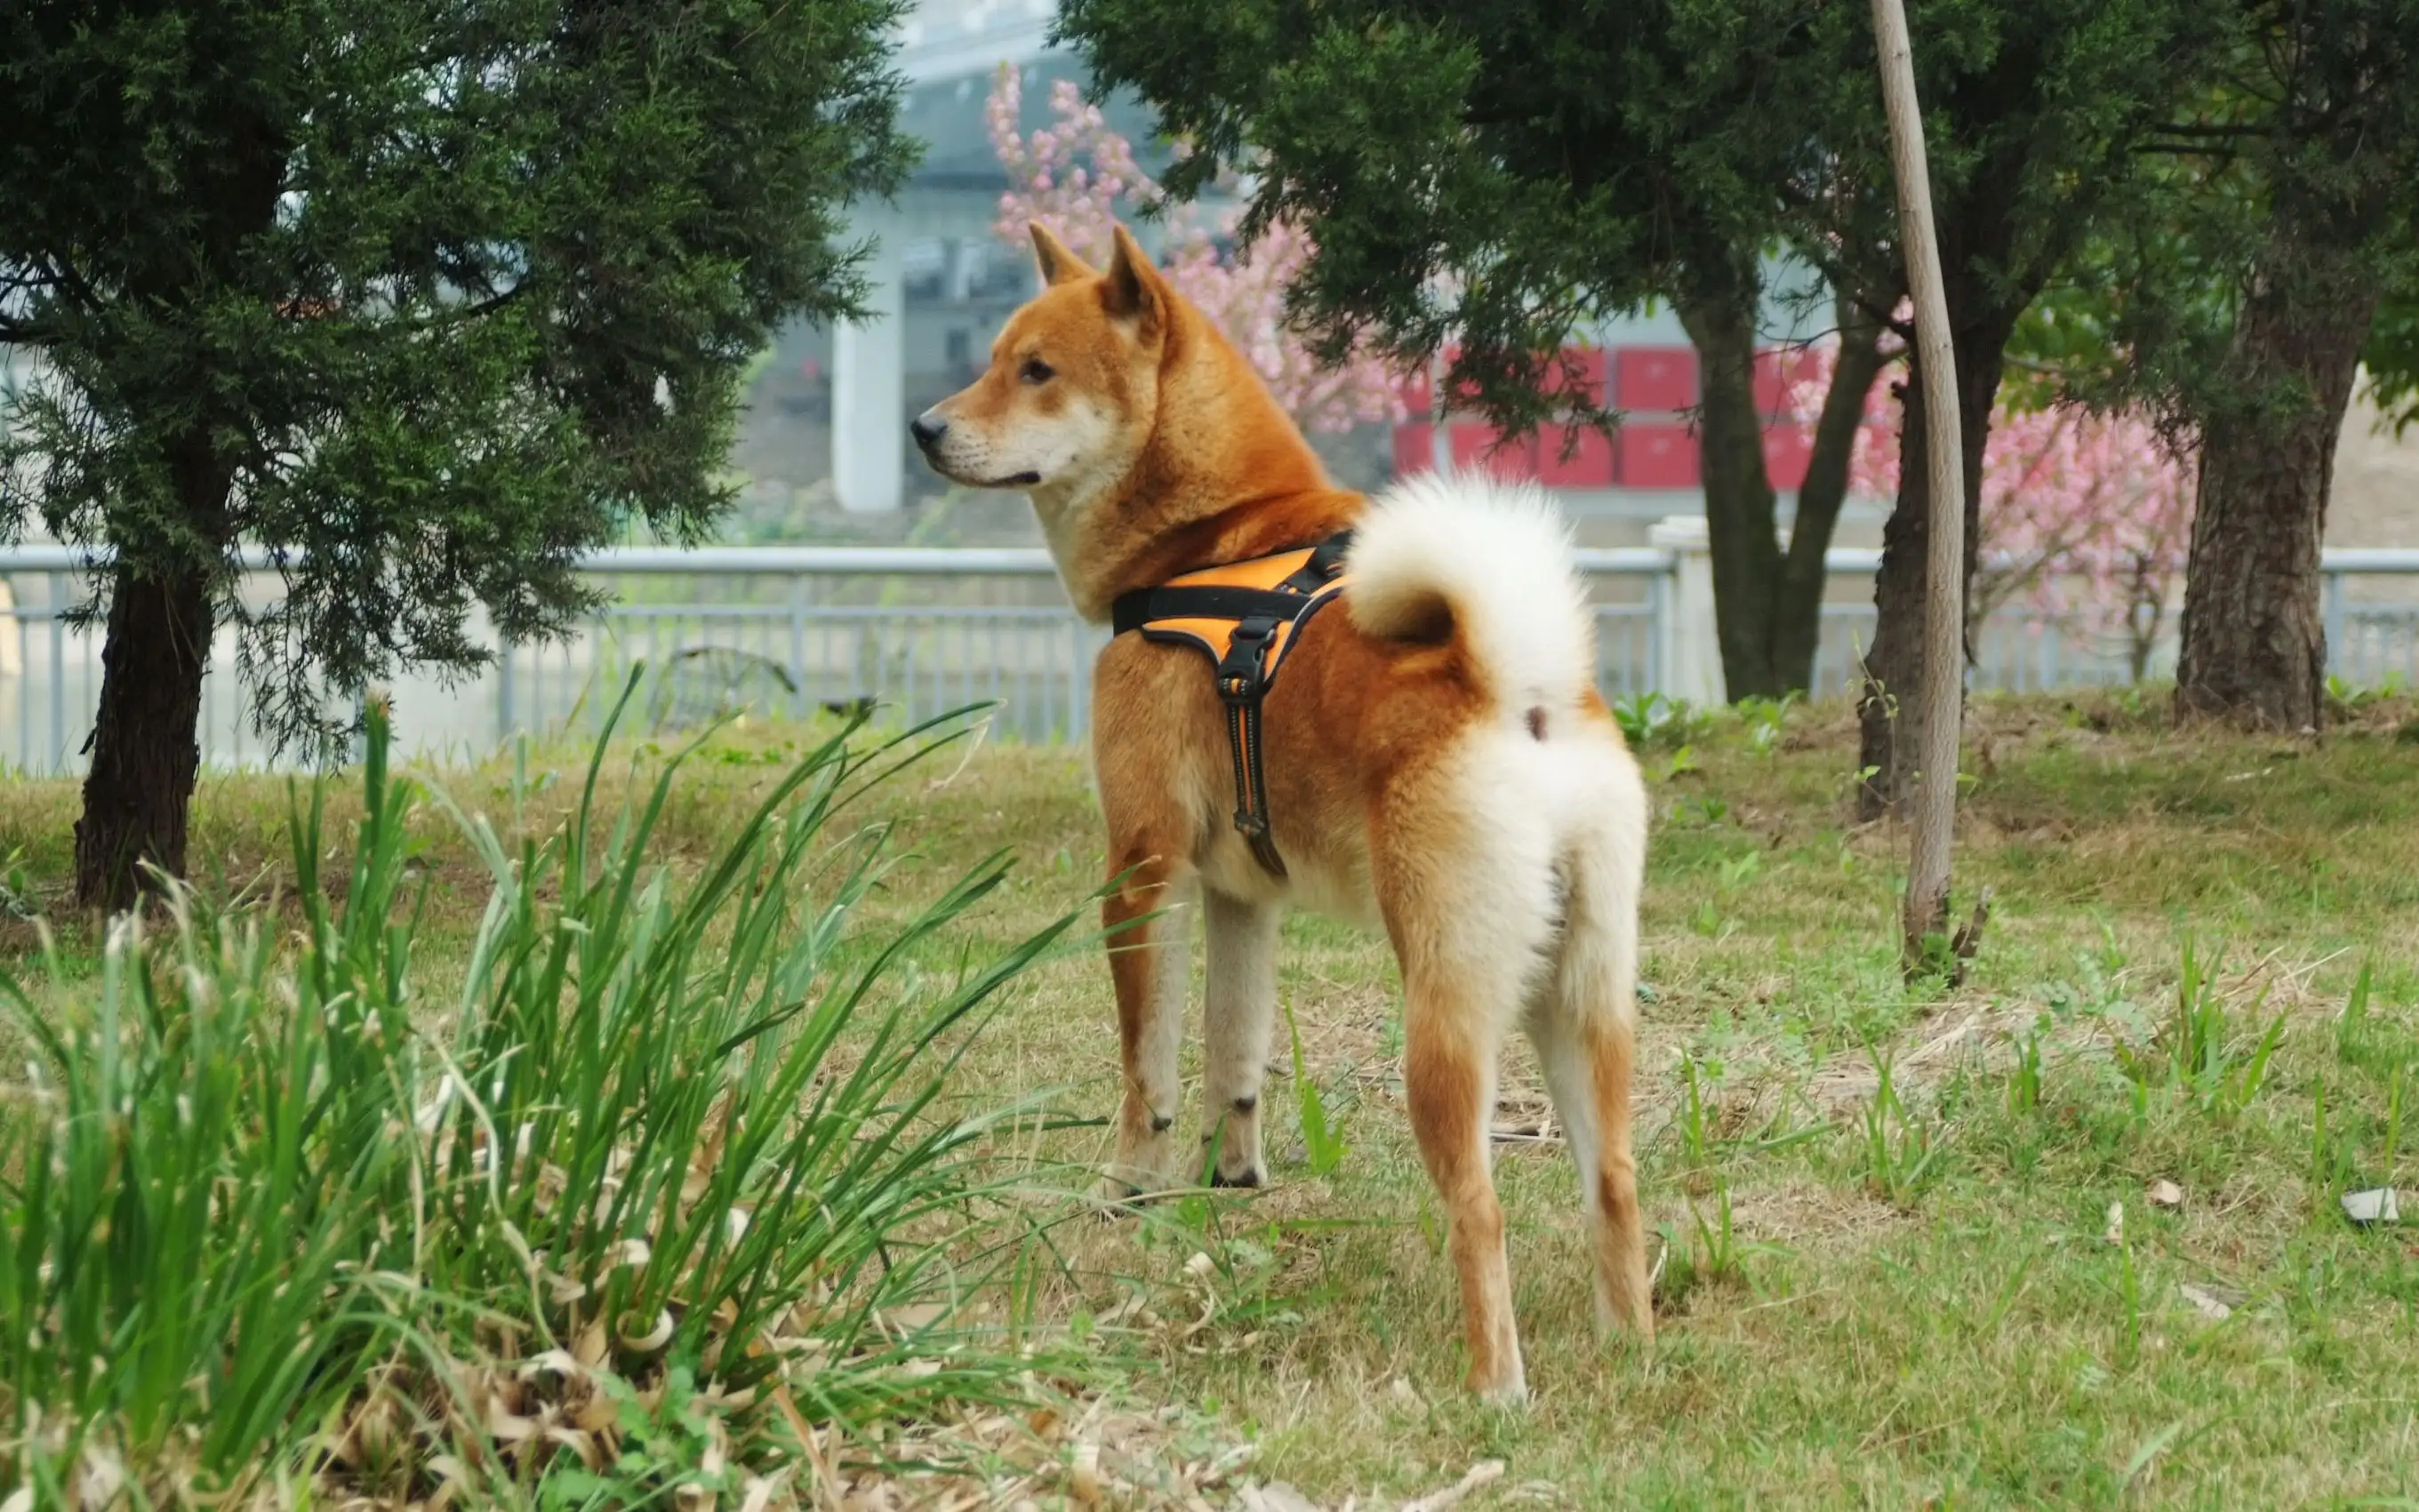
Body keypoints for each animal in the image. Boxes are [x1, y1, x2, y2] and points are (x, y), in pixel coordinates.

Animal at [914, 217, 1654, 1393]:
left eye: (1035, 371)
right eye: (990, 358)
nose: (923, 427)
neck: (1218, 536)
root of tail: (1520, 685)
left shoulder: (1142, 867)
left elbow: (1147, 1071)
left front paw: (1130, 1192)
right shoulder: (1239, 897)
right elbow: (1235, 1053)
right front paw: (1234, 1180)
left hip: (1443, 1011)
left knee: (1480, 1208)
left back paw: (1496, 1389)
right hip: (1581, 995)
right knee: (1615, 1181)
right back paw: (1630, 1355)